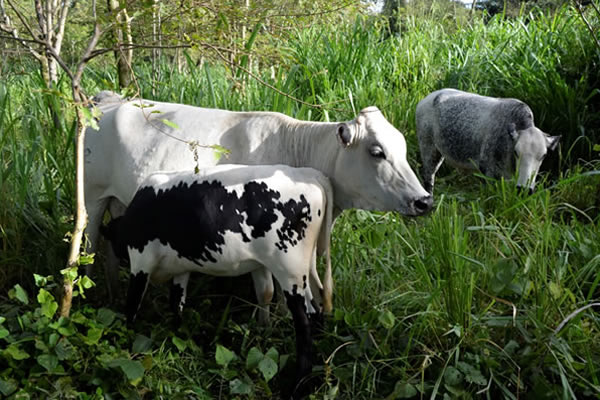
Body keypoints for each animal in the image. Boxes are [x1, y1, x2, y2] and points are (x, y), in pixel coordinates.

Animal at [85, 90, 432, 318]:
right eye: (377, 151)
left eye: (403, 147)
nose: (424, 200)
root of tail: (111, 100)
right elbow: (266, 289)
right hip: (93, 197)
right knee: (89, 246)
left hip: (119, 202)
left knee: (111, 251)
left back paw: (114, 293)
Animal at [99, 164, 332, 398]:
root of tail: (309, 174)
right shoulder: (181, 268)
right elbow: (176, 304)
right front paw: (179, 336)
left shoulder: (140, 262)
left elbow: (132, 306)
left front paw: (126, 341)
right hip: (306, 270)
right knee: (316, 308)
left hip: (289, 271)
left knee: (304, 324)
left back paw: (298, 385)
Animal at [414, 88, 560, 194]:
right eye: (516, 152)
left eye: (544, 155)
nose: (524, 188)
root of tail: (426, 100)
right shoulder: (487, 171)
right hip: (428, 148)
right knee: (429, 178)